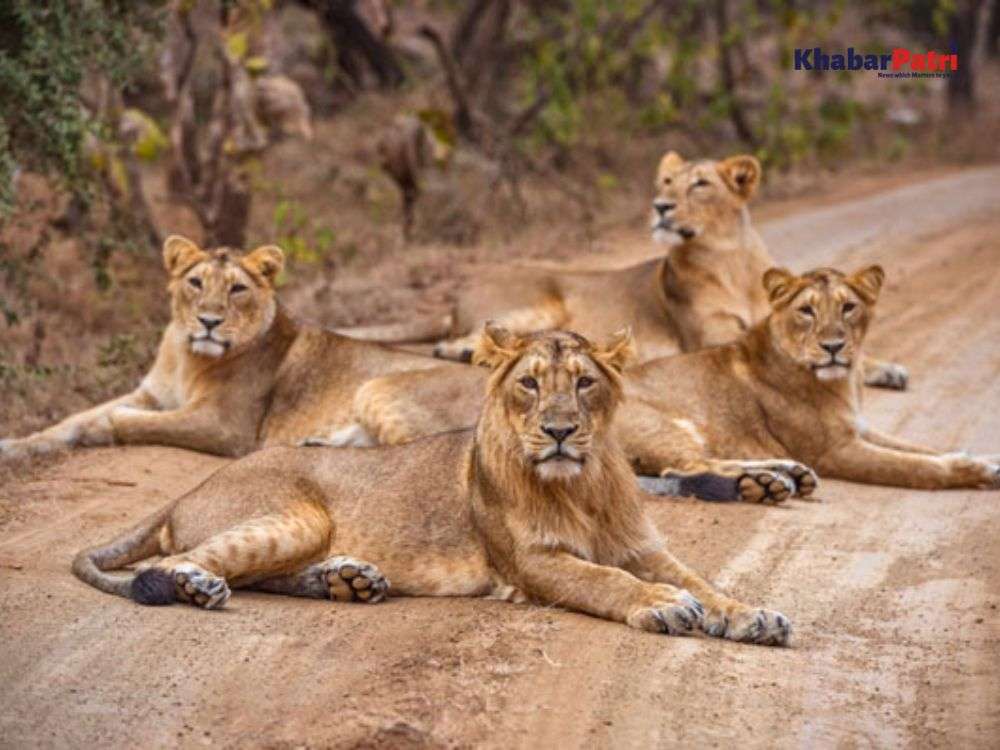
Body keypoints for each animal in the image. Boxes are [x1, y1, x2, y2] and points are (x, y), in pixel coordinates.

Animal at [0, 235, 466, 460]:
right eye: (195, 282)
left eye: (237, 289)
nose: (209, 321)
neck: (187, 358)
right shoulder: (151, 393)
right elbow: (71, 418)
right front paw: (18, 445)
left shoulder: (223, 425)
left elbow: (129, 421)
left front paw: (98, 430)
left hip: (378, 388)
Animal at [73, 327, 791, 646]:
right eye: (529, 383)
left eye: (585, 382)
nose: (560, 431)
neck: (582, 484)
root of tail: (183, 493)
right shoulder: (532, 563)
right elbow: (607, 580)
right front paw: (663, 606)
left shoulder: (647, 549)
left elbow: (704, 582)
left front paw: (750, 614)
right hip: (293, 516)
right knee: (176, 562)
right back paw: (203, 586)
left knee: (256, 575)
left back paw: (347, 581)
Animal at [329, 266, 998, 499]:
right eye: (808, 311)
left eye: (850, 309)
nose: (835, 345)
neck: (841, 382)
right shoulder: (838, 448)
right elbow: (914, 468)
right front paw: (967, 474)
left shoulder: (862, 429)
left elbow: (922, 447)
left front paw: (979, 459)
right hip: (665, 422)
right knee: (686, 465)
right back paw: (777, 479)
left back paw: (781, 474)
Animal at [337, 150, 907, 391]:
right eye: (666, 182)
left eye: (700, 184)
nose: (660, 206)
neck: (731, 260)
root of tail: (459, 291)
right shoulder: (709, 337)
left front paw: (883, 366)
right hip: (539, 304)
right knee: (466, 341)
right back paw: (460, 349)